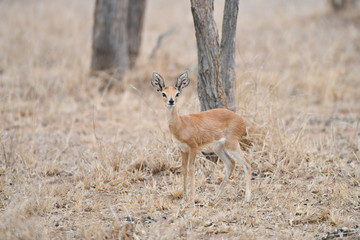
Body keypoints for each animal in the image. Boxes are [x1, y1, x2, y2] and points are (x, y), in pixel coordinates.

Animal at [151, 71, 250, 204]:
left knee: (247, 164)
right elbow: (184, 170)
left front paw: (192, 198)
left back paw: (247, 199)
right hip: (219, 148)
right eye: (163, 93)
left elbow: (191, 169)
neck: (181, 124)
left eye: (177, 93)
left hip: (232, 145)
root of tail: (242, 122)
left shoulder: (193, 147)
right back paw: (216, 197)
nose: (171, 101)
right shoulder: (183, 149)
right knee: (231, 164)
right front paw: (184, 198)